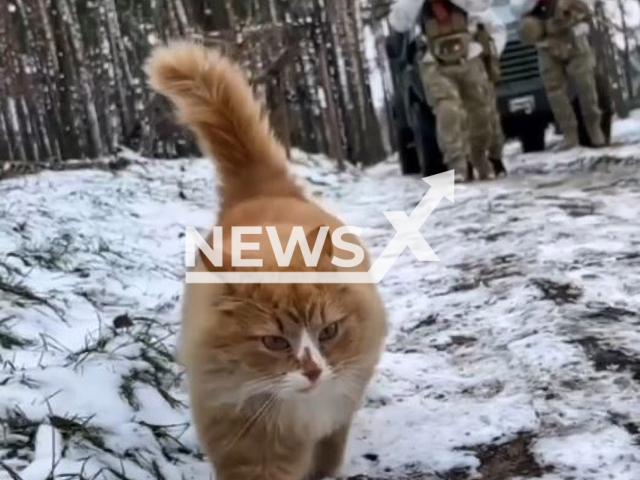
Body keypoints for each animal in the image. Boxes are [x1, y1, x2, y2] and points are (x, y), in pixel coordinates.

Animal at [146, 42, 384, 480]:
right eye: (274, 341)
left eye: (328, 331)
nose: (313, 371)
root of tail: (259, 189)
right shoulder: (248, 442)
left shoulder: (335, 416)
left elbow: (327, 457)